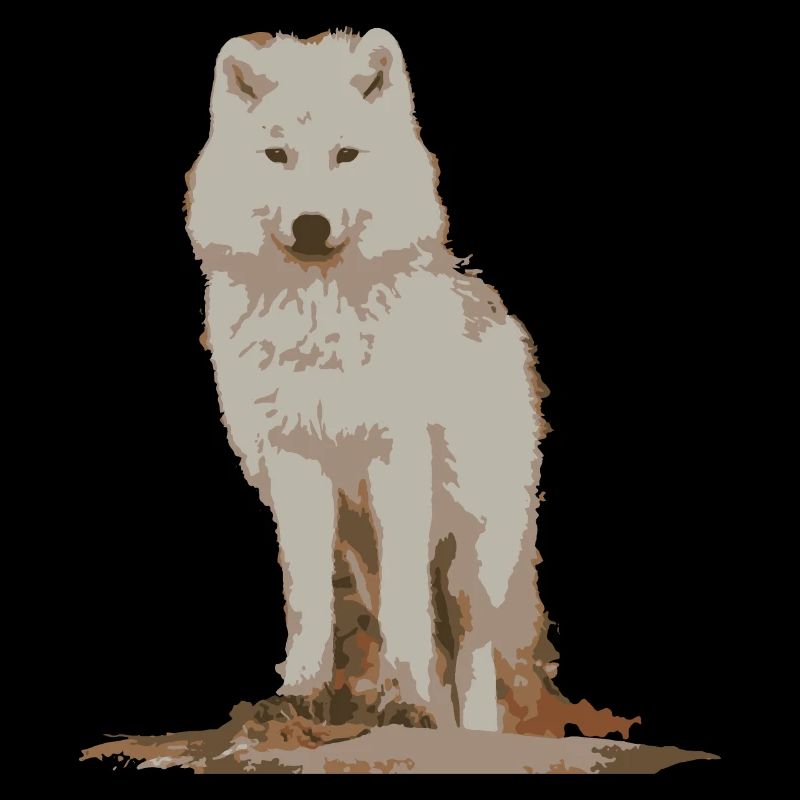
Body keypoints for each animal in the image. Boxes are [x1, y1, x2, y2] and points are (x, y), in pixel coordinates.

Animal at [185, 28, 552, 733]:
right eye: (278, 154)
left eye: (347, 154)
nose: (311, 224)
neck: (320, 322)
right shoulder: (296, 460)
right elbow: (308, 601)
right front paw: (302, 694)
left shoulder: (397, 454)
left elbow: (414, 614)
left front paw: (407, 703)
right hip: (363, 551)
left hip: (472, 551)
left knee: (472, 650)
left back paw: (465, 730)